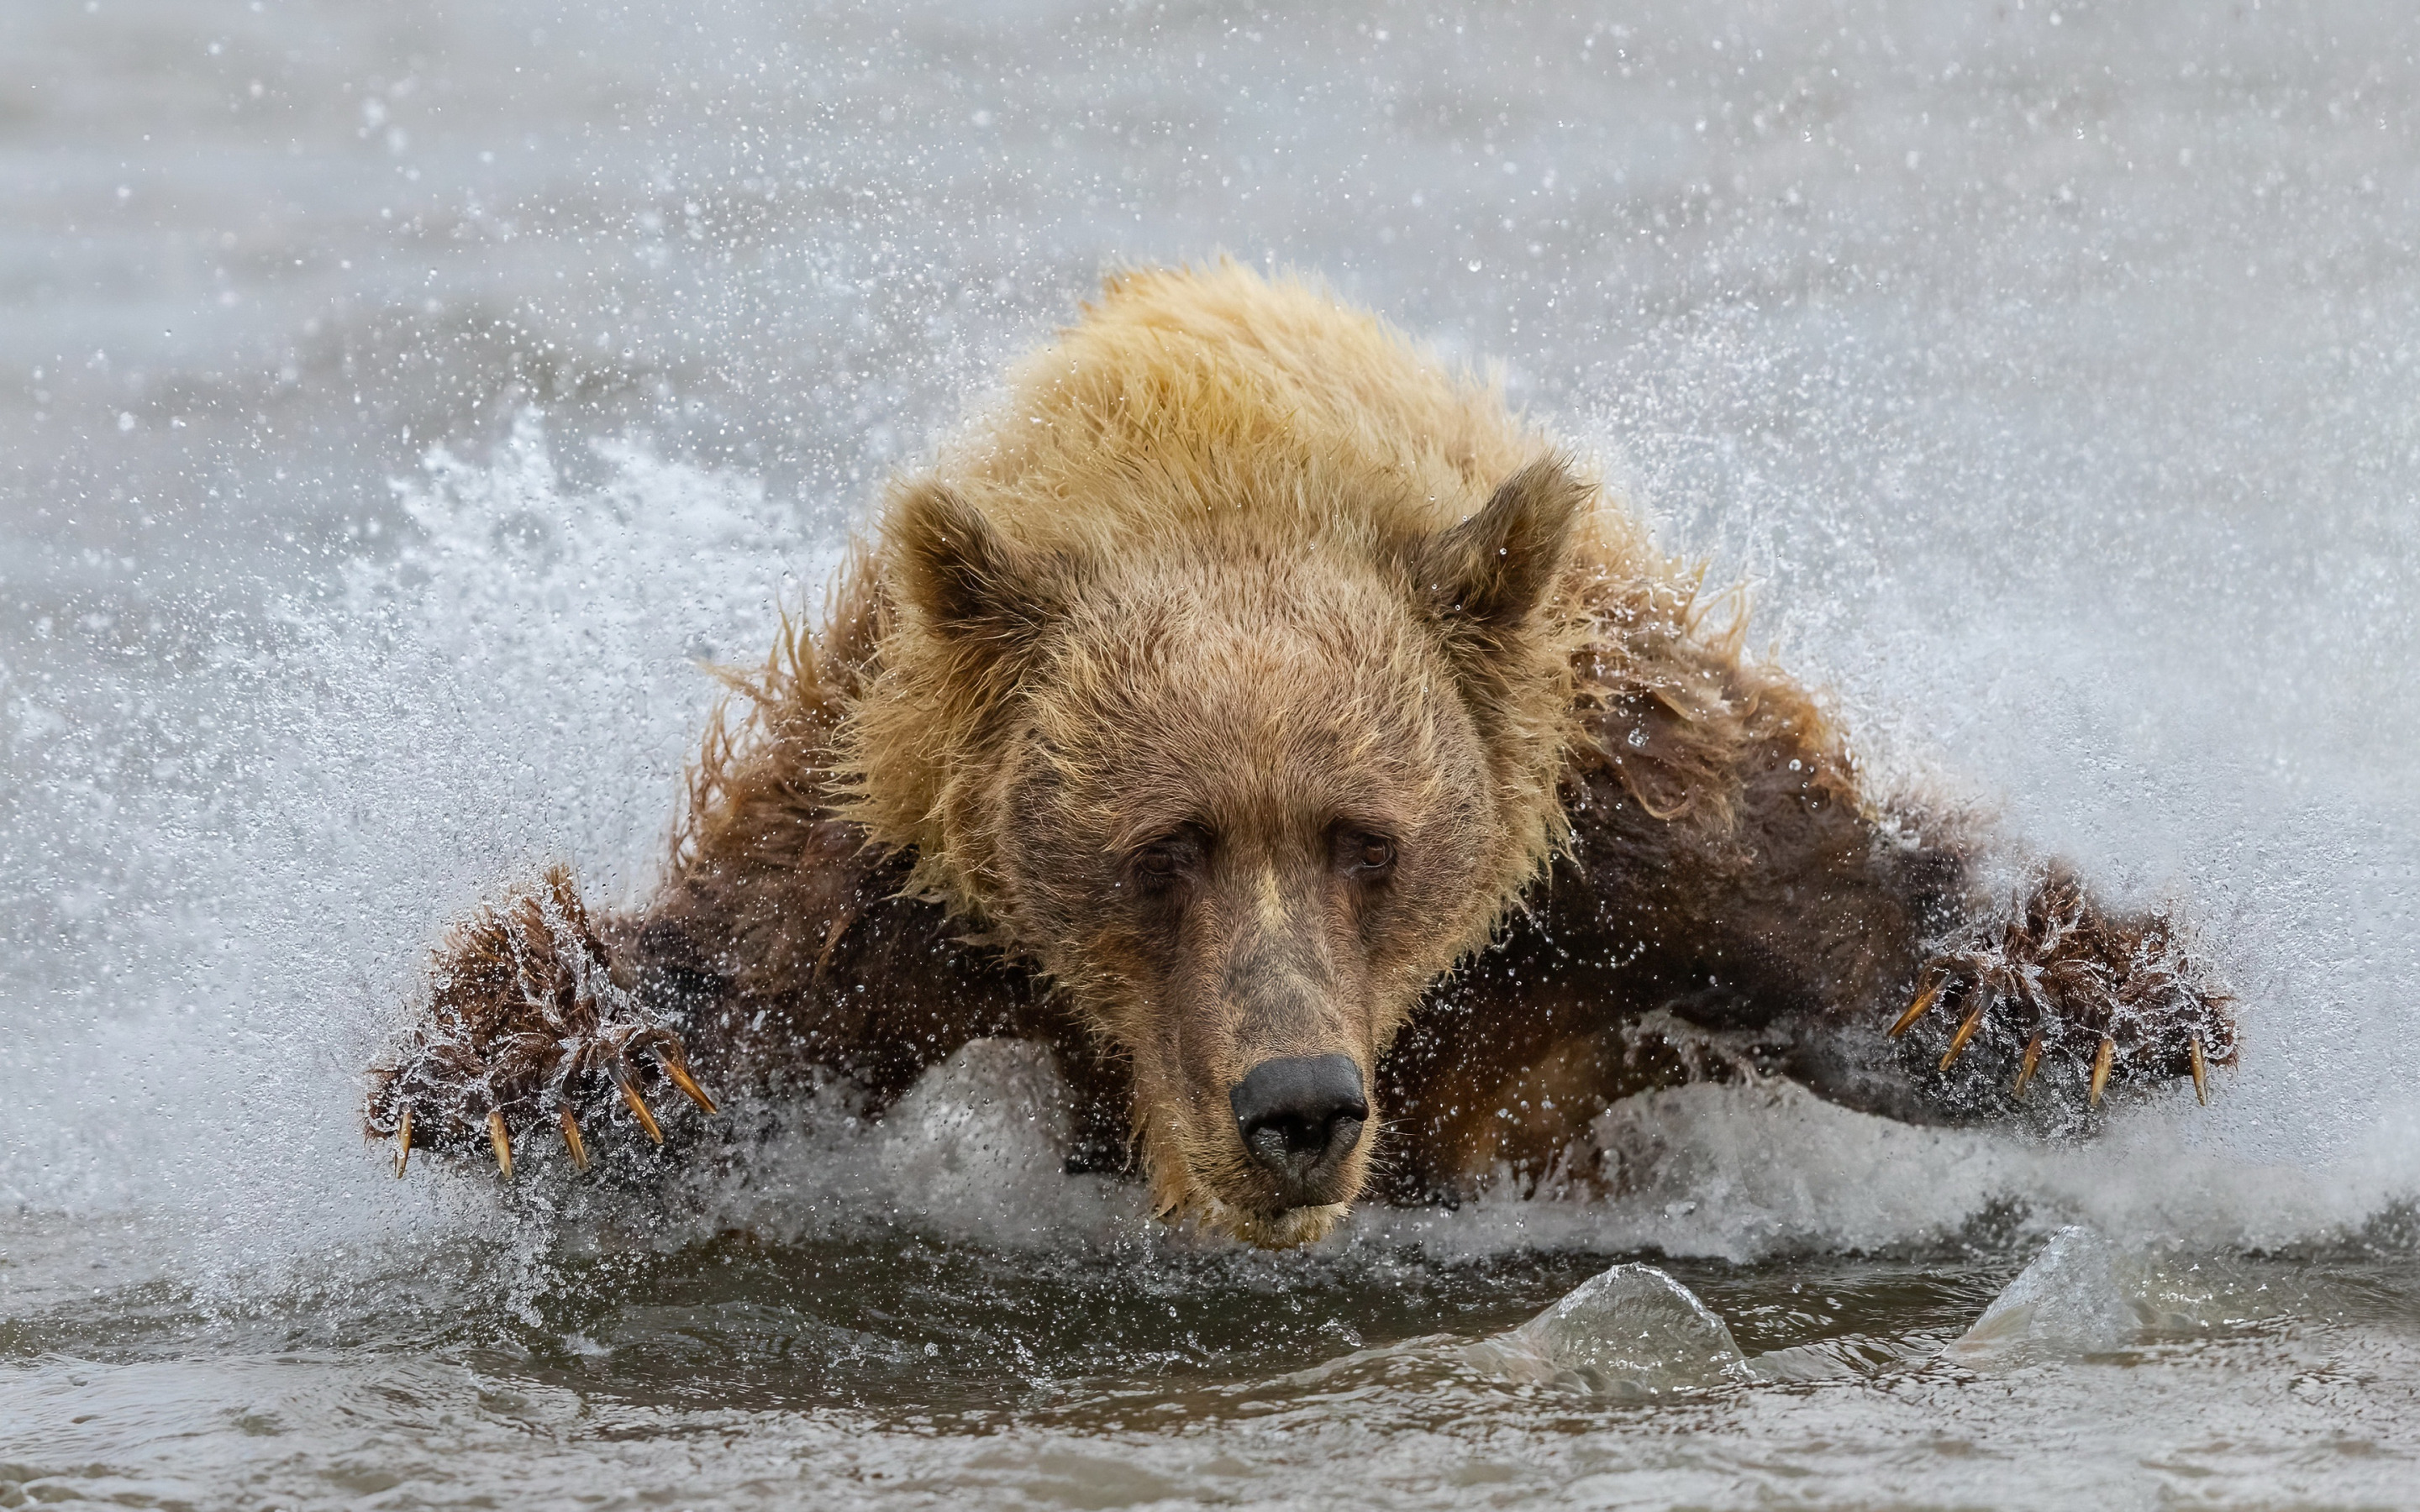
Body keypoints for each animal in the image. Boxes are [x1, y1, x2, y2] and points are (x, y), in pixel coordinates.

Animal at [367, 262, 2236, 1248]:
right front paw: (578, 1071)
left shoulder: (1621, 817)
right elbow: (719, 998)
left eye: (1369, 838)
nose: (1302, 1106)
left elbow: (1849, 924)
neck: (1221, 471)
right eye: (1164, 844)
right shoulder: (889, 863)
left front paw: (2049, 1002)